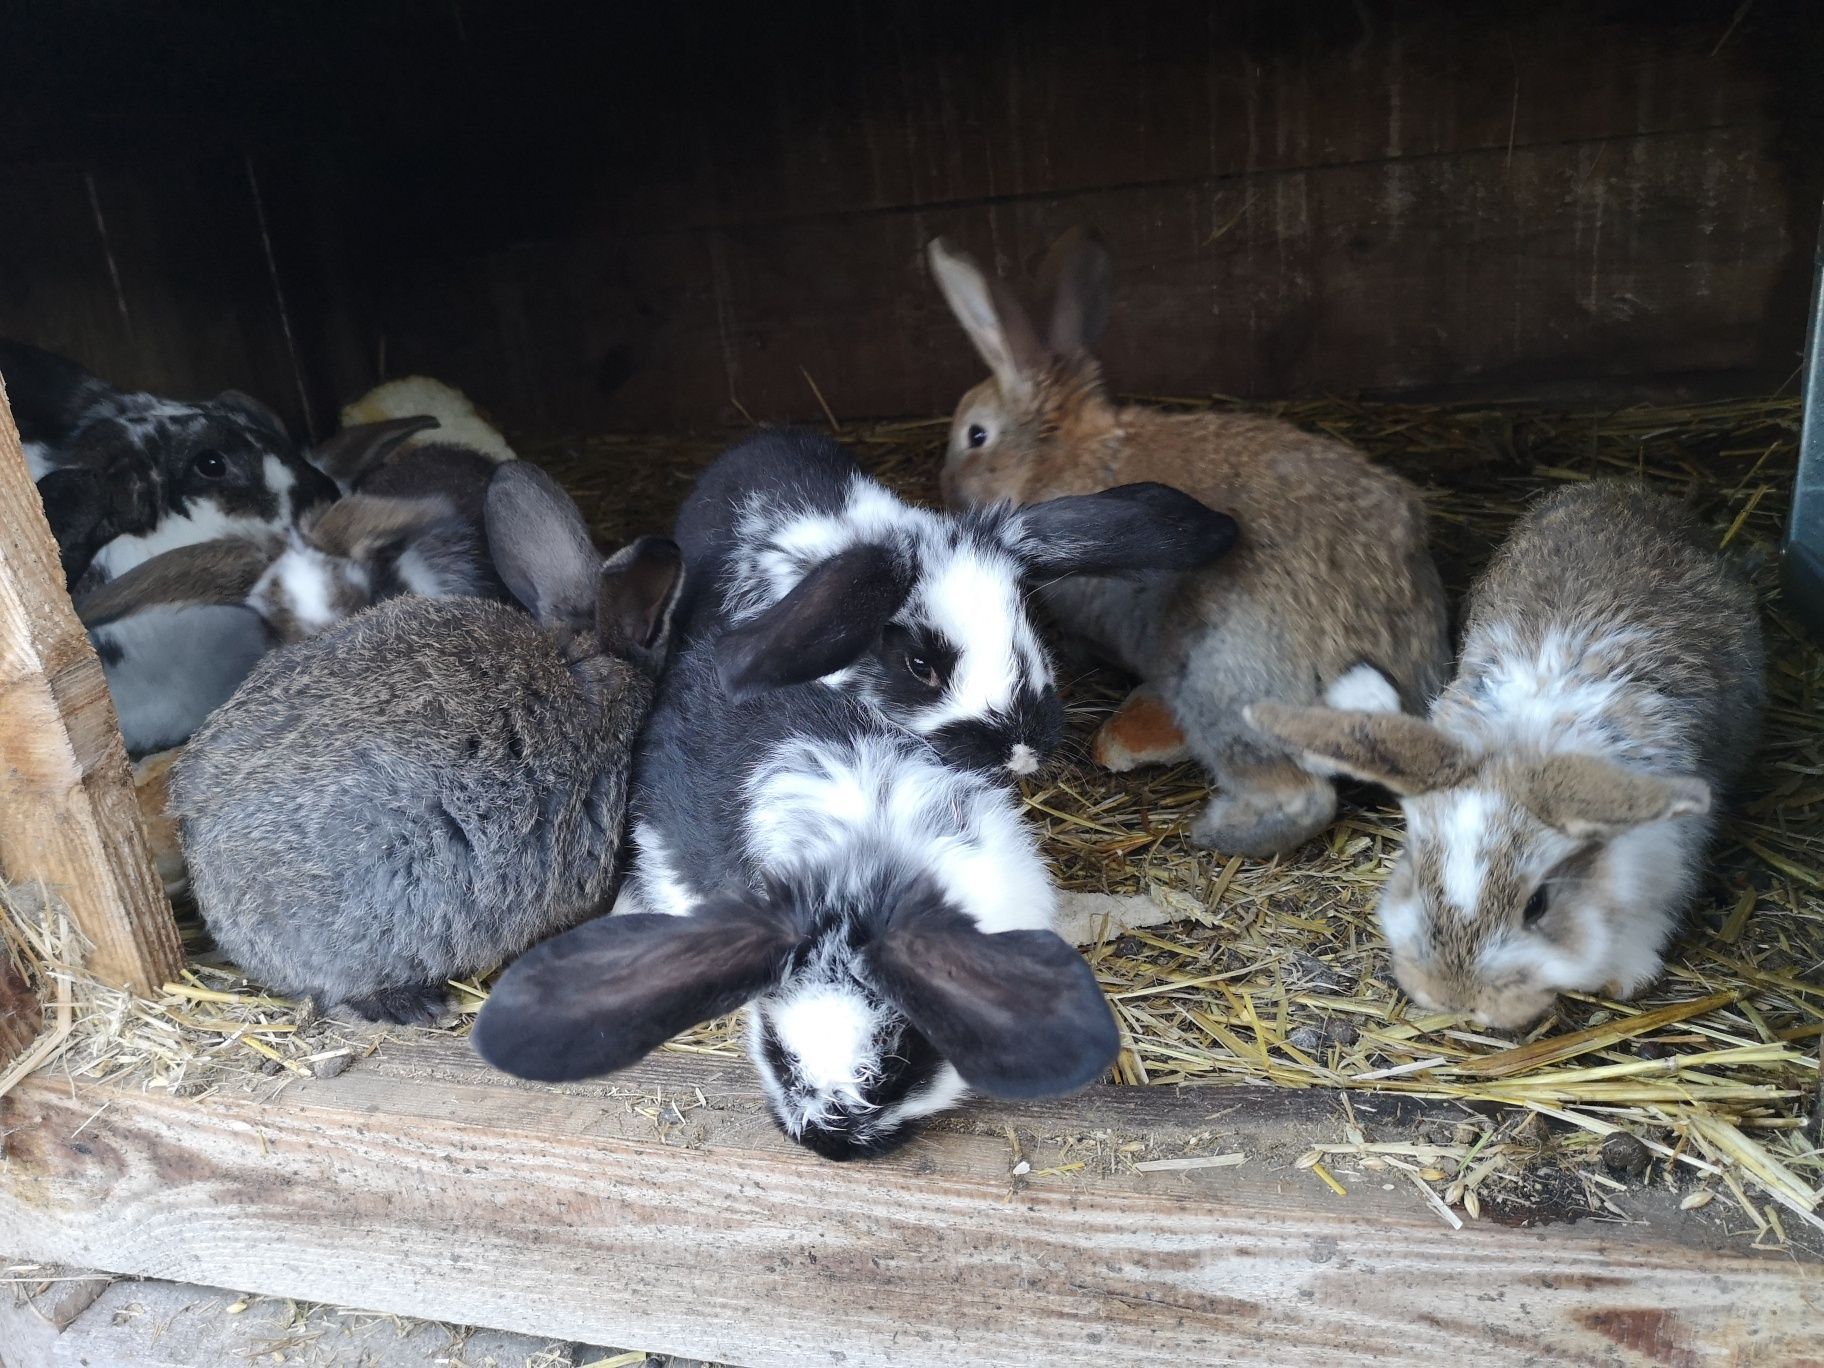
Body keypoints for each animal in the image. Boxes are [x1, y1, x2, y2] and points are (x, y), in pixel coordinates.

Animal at [926, 235, 1451, 857]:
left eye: (976, 435)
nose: (946, 488)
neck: (1060, 454)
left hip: (1223, 689)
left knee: (1300, 797)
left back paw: (1211, 832)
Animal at [1247, 481, 1758, 1028]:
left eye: (1538, 905)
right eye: (1416, 873)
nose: (1456, 998)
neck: (1522, 740)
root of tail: (1622, 488)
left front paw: (1626, 976)